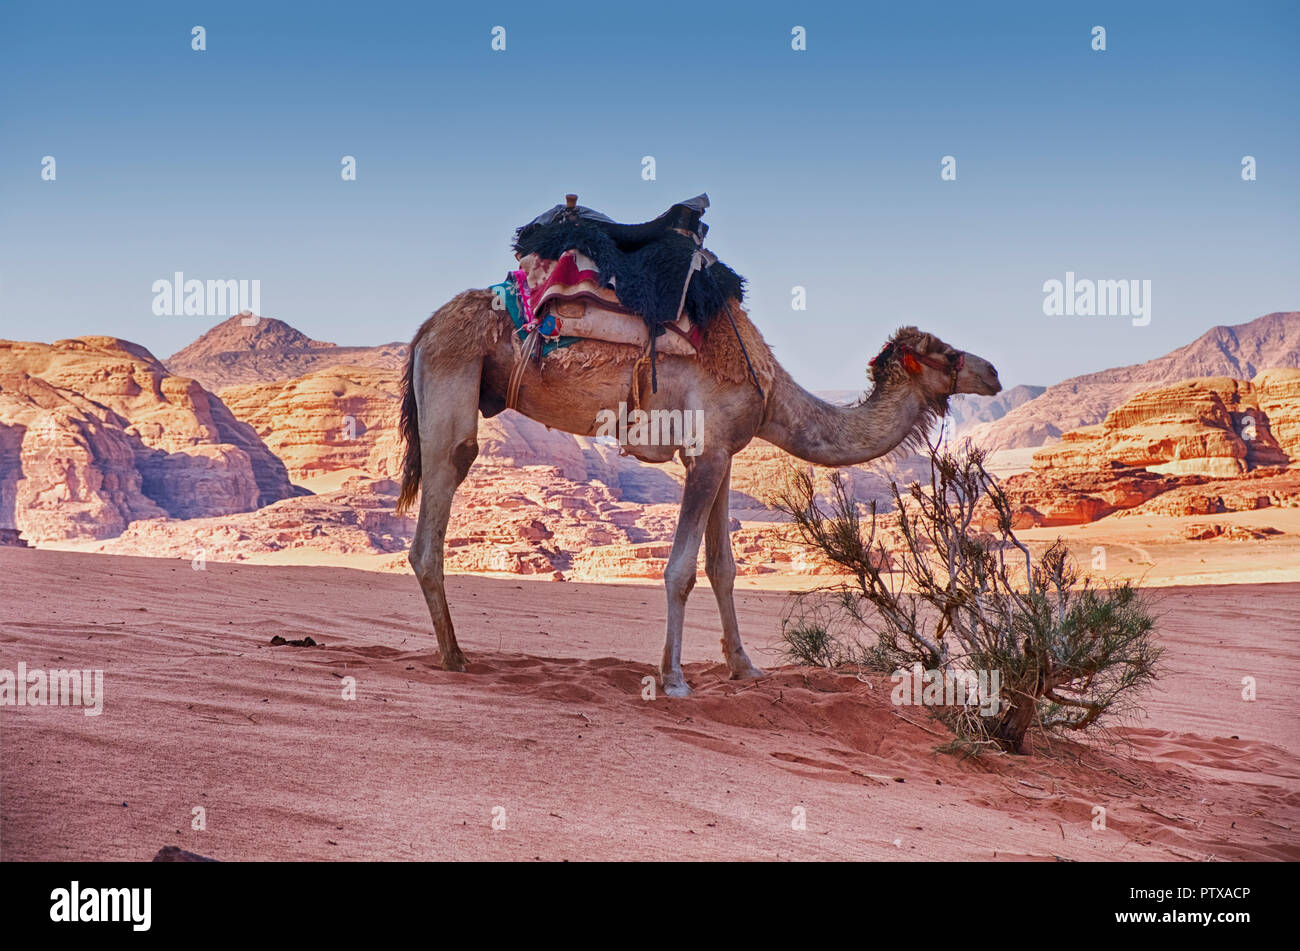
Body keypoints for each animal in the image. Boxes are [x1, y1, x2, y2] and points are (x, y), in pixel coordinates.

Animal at [396, 289, 1001, 696]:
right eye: (947, 353)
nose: (993, 371)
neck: (772, 393)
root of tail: (425, 329)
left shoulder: (721, 452)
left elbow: (722, 567)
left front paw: (744, 666)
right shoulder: (705, 452)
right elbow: (681, 570)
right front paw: (673, 678)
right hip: (453, 380)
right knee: (438, 505)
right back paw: (455, 657)